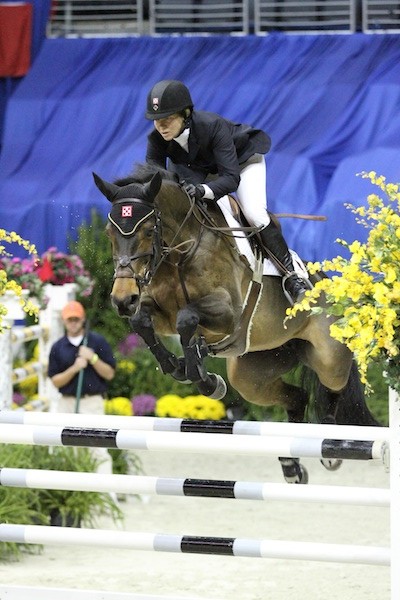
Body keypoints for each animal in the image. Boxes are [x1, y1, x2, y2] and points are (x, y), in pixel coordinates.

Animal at [93, 164, 378, 482]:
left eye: (146, 230)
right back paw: (292, 467)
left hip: (328, 357)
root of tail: (334, 288)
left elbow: (187, 318)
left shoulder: (227, 313)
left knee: (332, 385)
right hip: (251, 373)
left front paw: (202, 377)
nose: (122, 299)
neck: (181, 251)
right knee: (297, 397)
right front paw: (180, 367)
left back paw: (330, 445)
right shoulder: (158, 311)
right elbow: (143, 321)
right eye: (109, 233)